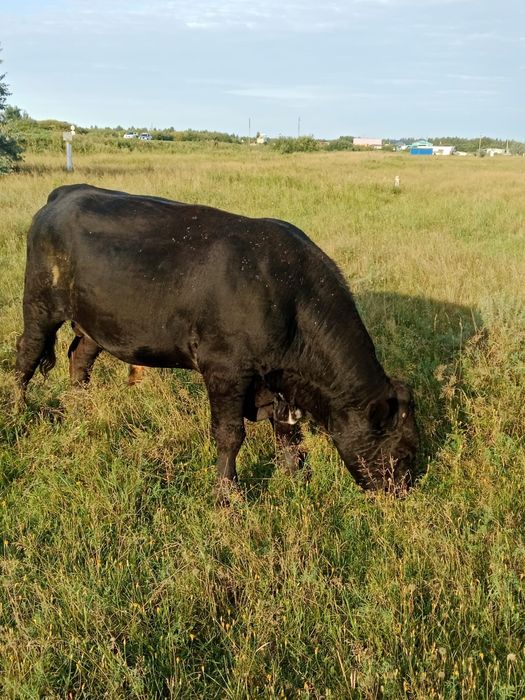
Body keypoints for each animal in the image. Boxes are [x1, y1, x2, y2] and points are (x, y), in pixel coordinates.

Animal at [15, 184, 418, 499]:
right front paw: (228, 495)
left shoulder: (275, 380)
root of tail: (67, 192)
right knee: (26, 355)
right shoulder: (225, 370)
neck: (287, 295)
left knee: (80, 358)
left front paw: (297, 476)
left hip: (95, 322)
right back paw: (18, 409)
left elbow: (288, 432)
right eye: (404, 451)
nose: (405, 490)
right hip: (40, 305)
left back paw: (80, 406)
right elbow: (229, 435)